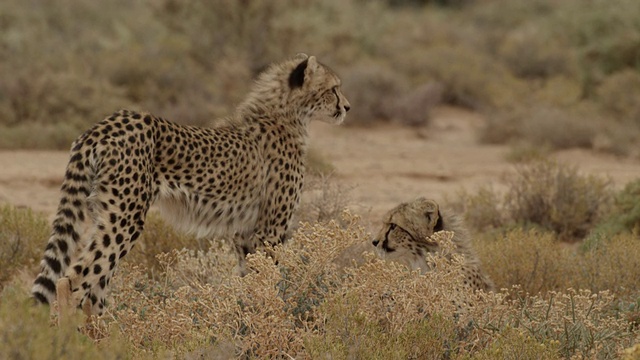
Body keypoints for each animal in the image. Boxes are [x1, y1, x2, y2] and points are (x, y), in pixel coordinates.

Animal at [31, 53, 350, 316]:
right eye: (333, 88)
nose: (347, 106)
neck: (287, 115)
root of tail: (104, 124)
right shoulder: (270, 230)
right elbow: (269, 280)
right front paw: (271, 318)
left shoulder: (245, 232)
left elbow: (250, 280)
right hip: (125, 218)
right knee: (74, 280)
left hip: (105, 213)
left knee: (93, 286)